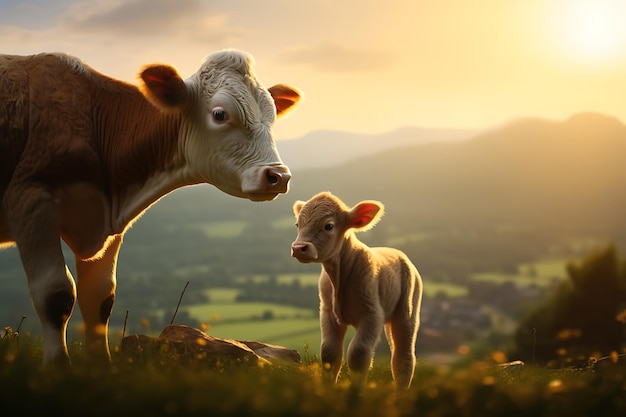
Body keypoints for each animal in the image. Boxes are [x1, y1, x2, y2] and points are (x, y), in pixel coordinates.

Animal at [0, 49, 302, 364]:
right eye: (220, 114)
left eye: (272, 116)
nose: (278, 176)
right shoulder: (31, 199)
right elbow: (55, 294)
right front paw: (59, 368)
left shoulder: (108, 227)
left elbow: (99, 297)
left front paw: (100, 366)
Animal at [290, 192, 422, 386]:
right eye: (298, 224)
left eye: (329, 226)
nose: (299, 248)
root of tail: (399, 253)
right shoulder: (328, 312)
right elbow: (329, 353)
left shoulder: (372, 314)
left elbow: (359, 354)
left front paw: (356, 389)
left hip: (407, 311)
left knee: (403, 355)